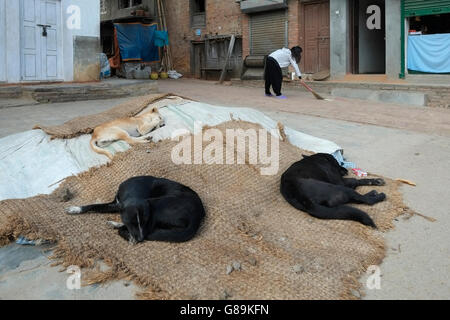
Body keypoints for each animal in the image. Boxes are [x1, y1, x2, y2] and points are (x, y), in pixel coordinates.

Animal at [65, 176, 206, 244]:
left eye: (144, 221)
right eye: (132, 222)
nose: (140, 239)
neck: (133, 192)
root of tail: (196, 219)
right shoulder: (115, 204)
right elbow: (94, 206)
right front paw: (76, 209)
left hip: (158, 204)